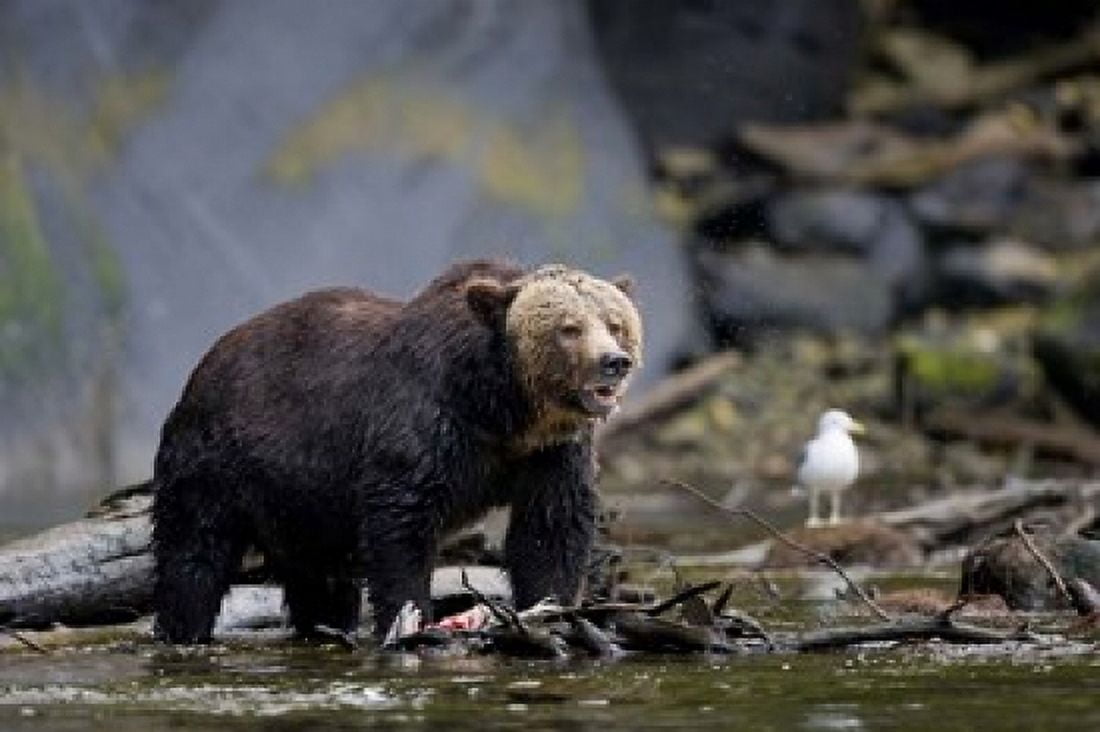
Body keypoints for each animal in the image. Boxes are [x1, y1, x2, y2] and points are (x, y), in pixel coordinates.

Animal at [151, 259, 642, 643]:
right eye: (569, 328)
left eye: (615, 323)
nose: (613, 362)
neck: (501, 409)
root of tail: (204, 364)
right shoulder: (425, 424)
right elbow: (401, 524)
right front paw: (410, 621)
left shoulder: (550, 453)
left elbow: (550, 529)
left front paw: (552, 609)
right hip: (220, 460)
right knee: (194, 555)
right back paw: (183, 629)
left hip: (302, 501)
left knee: (321, 577)